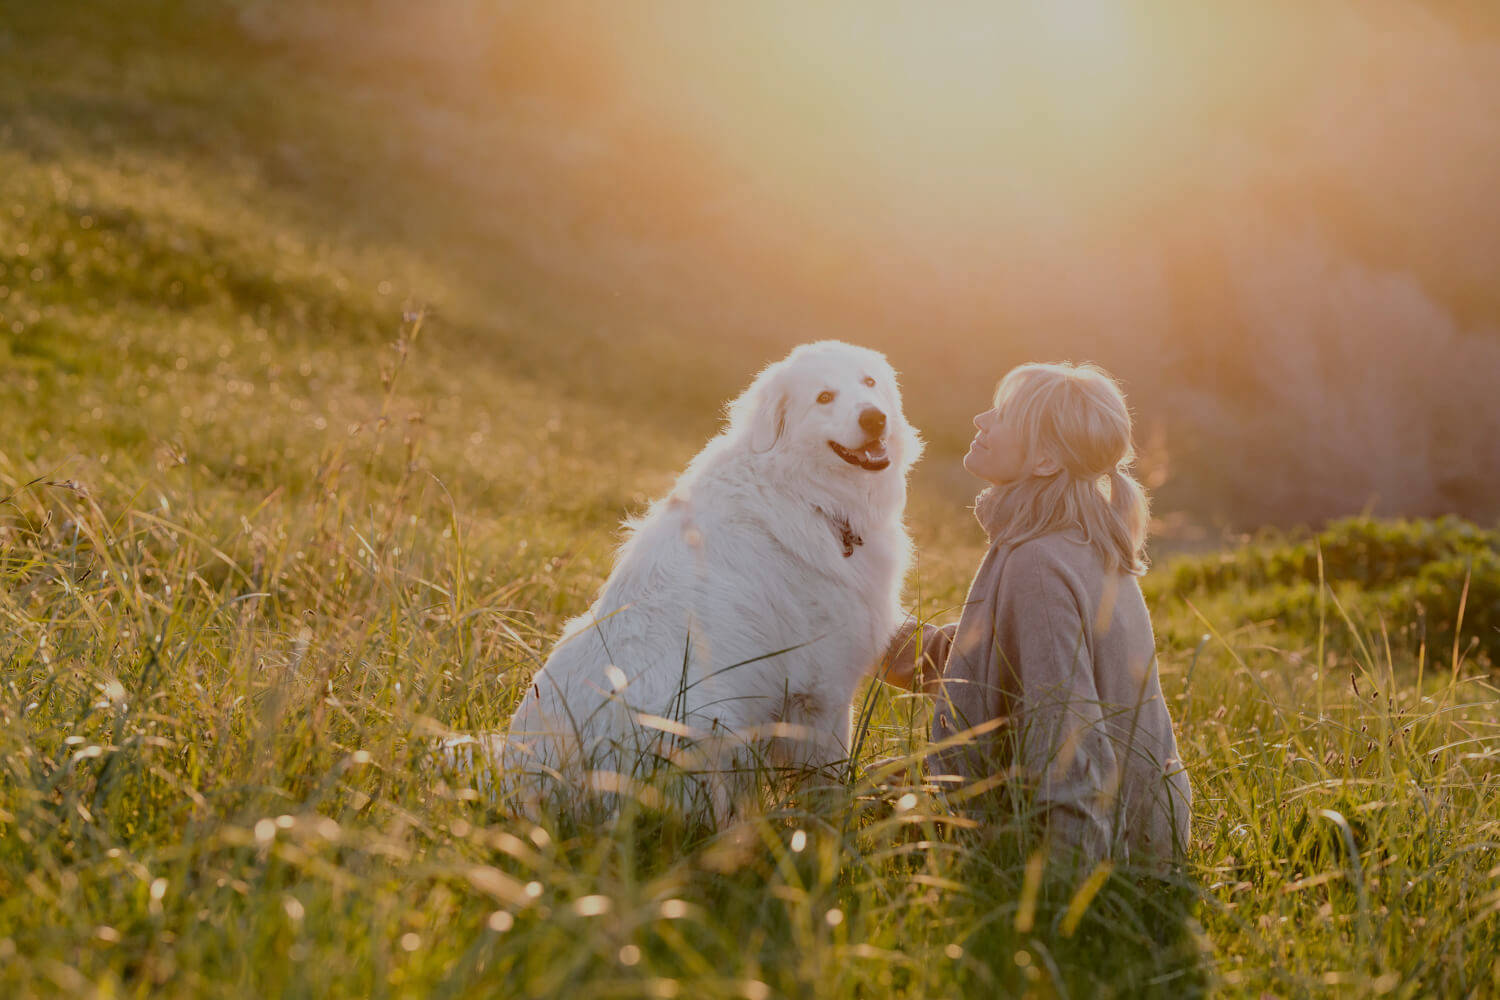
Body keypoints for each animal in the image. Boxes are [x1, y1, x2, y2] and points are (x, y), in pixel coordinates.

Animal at [462, 340, 918, 815]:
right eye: (825, 397)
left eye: (869, 382)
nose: (874, 418)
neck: (806, 493)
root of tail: (526, 782)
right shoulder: (823, 691)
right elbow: (829, 785)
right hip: (707, 725)